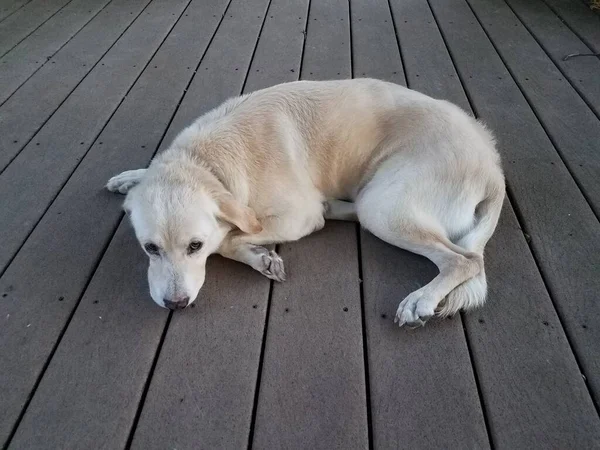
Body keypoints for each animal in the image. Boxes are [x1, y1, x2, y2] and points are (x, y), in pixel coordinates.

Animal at [106, 79, 502, 326]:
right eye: (150, 248)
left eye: (195, 246)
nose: (175, 304)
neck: (206, 161)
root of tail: (492, 165)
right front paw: (130, 177)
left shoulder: (297, 216)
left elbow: (228, 240)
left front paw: (258, 256)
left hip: (384, 207)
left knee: (465, 260)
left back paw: (421, 299)